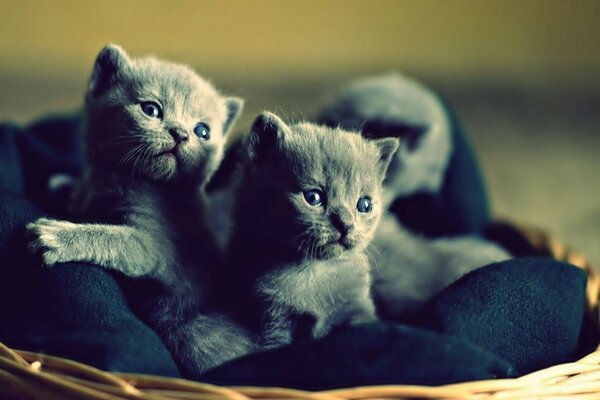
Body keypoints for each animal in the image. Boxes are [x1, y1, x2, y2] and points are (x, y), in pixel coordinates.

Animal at [26, 45, 253, 376]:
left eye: (202, 131)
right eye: (151, 110)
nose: (180, 133)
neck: (120, 179)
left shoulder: (157, 245)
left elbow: (115, 239)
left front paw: (57, 236)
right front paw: (64, 186)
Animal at [224, 111, 398, 350]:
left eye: (364, 205)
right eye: (313, 197)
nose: (346, 224)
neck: (314, 271)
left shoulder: (358, 308)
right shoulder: (272, 322)